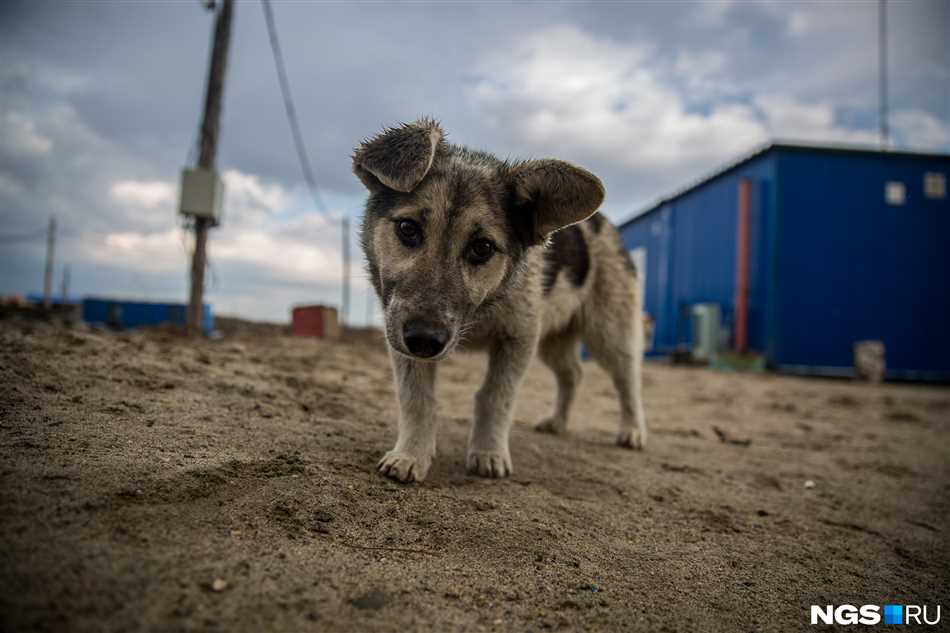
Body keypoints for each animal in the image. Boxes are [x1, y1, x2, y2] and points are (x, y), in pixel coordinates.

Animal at [354, 118, 652, 482]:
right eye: (408, 229)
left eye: (482, 248)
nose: (424, 340)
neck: (481, 312)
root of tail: (603, 222)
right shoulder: (401, 332)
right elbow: (416, 398)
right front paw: (411, 455)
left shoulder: (518, 338)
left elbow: (496, 398)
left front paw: (488, 453)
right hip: (552, 339)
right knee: (573, 373)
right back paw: (558, 422)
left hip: (609, 333)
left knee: (628, 379)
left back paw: (632, 431)